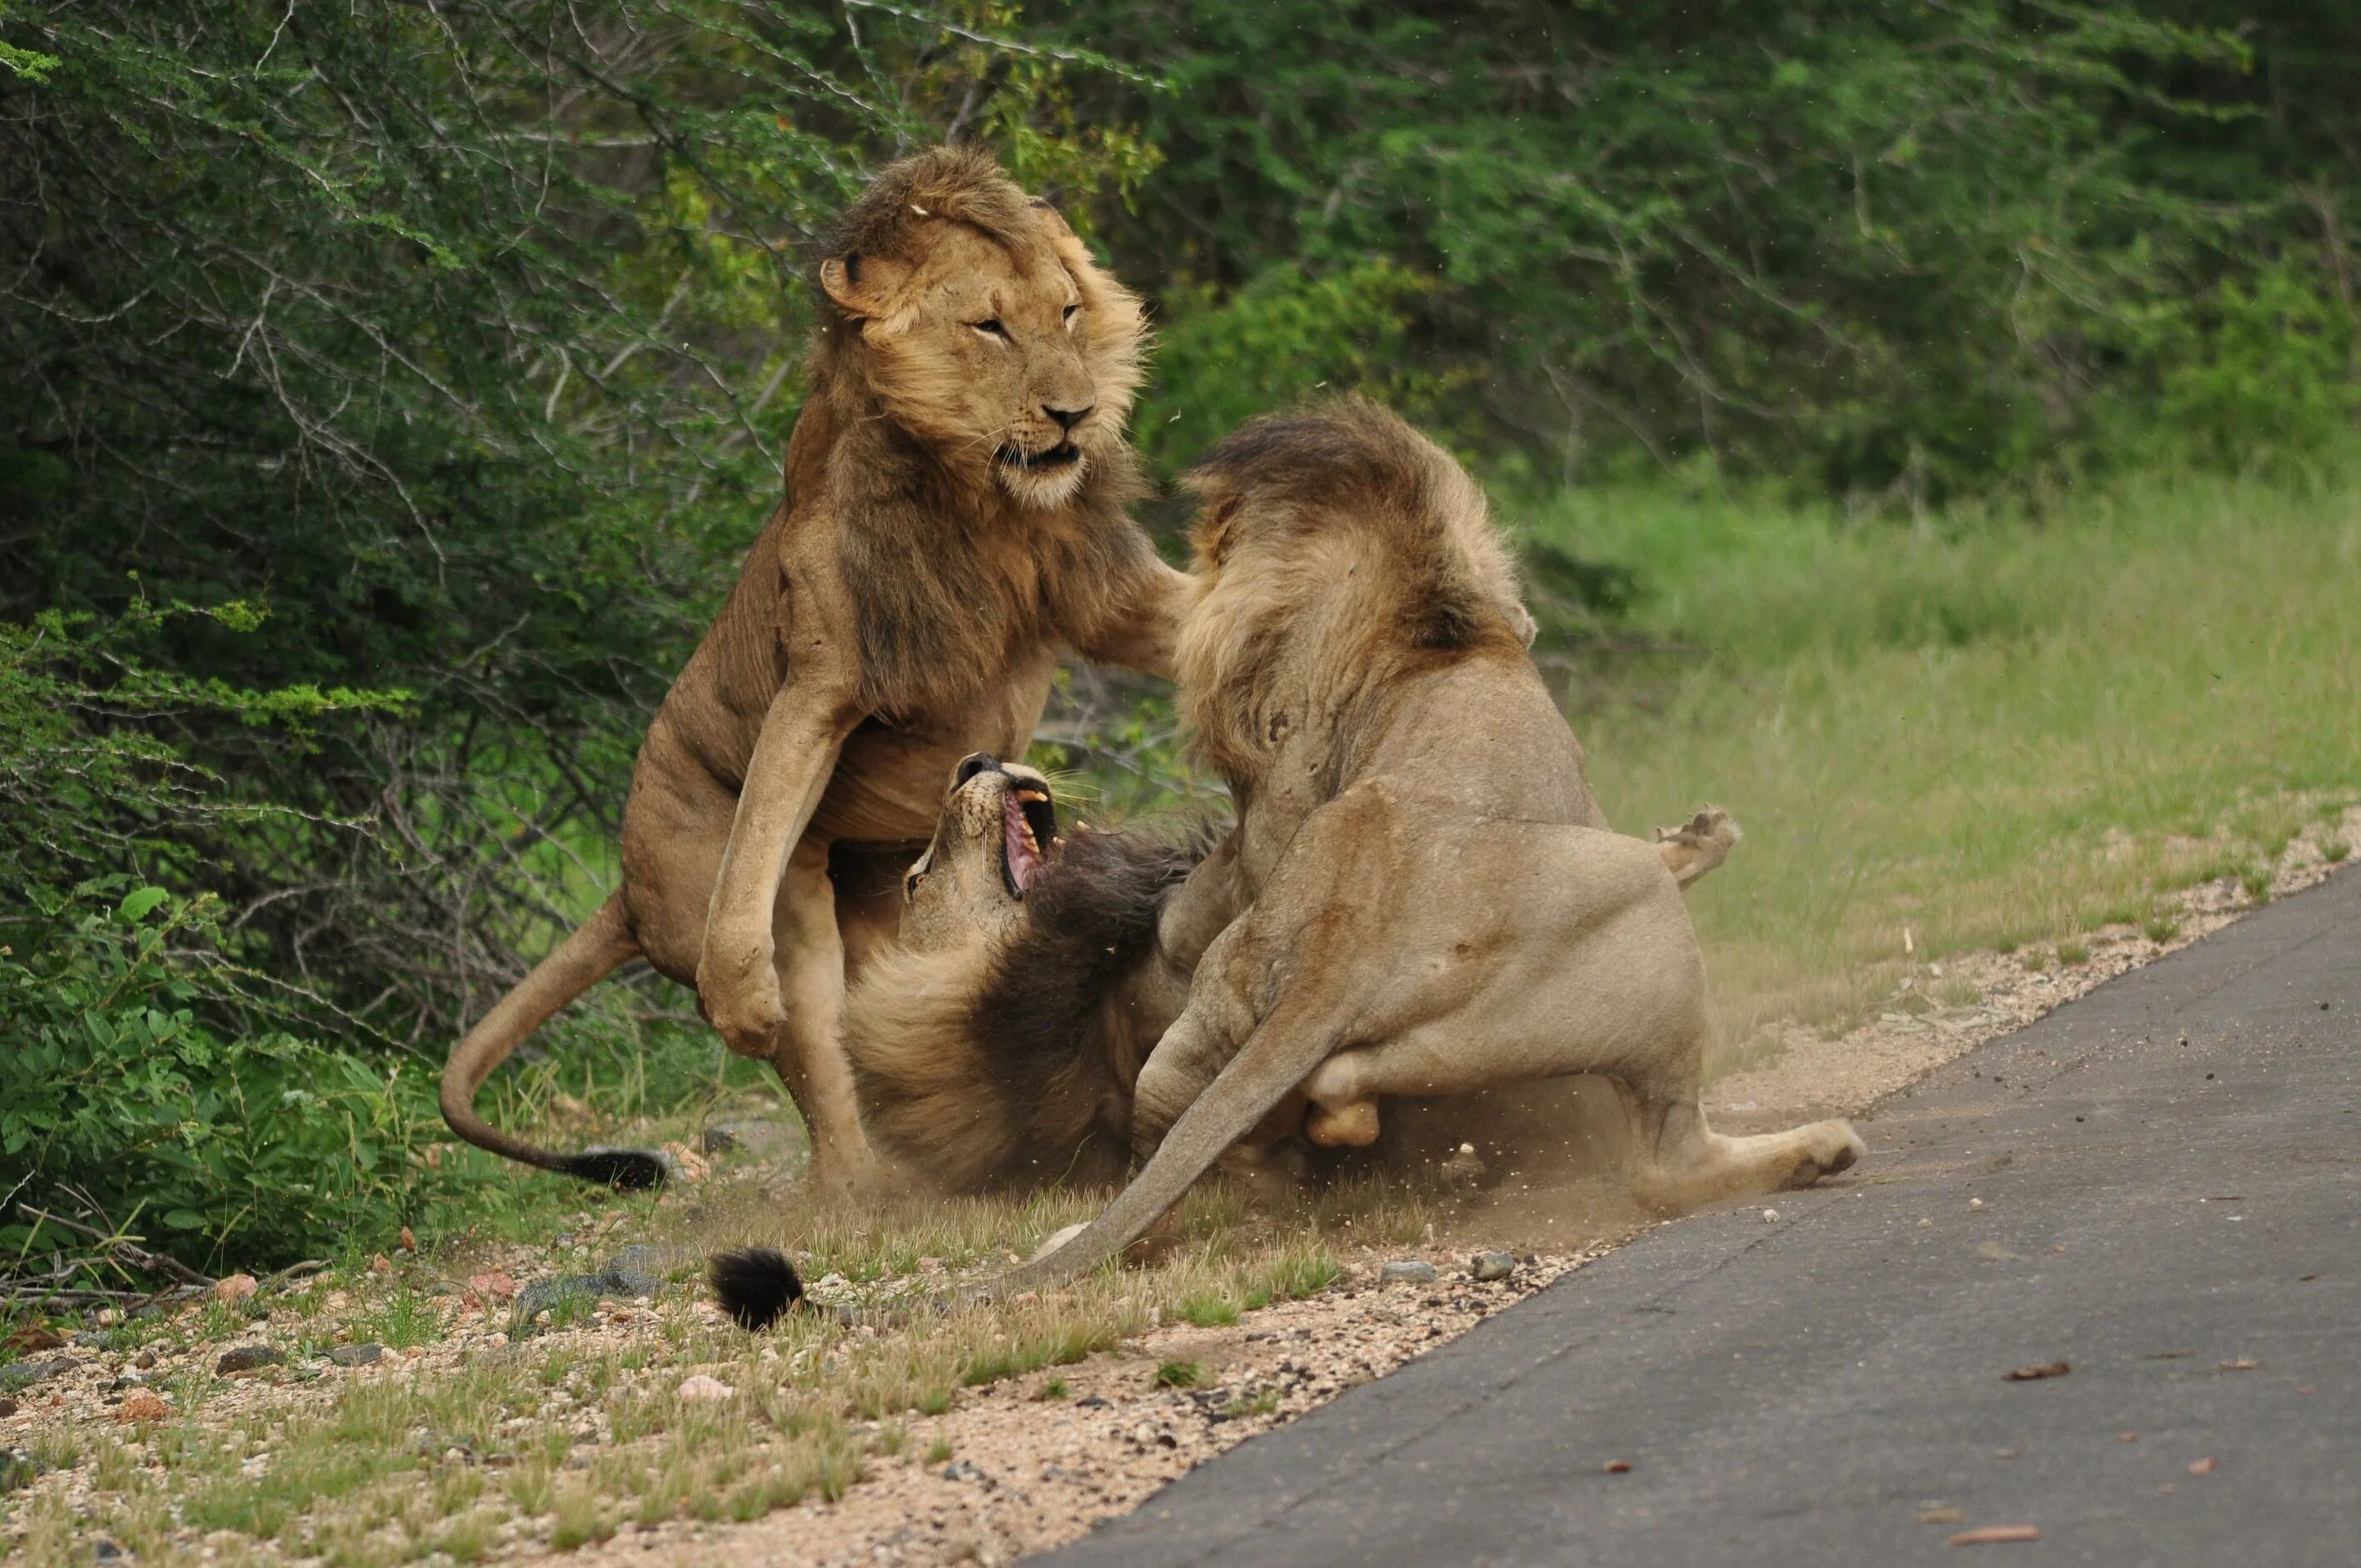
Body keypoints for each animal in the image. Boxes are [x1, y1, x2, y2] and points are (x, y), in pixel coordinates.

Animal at [436, 147, 1189, 1190]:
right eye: (989, 326)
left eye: (1070, 311)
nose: (1074, 413)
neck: (986, 501)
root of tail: (625, 887)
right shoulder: (825, 673)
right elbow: (773, 793)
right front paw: (740, 997)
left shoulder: (1110, 596)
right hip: (772, 903)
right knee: (823, 1069)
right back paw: (862, 1175)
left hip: (886, 903)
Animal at [996, 401, 1860, 1284]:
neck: (1427, 630)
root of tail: (1329, 965)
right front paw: (1701, 836)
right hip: (1636, 926)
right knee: (1661, 1162)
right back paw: (1818, 1145)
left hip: (1206, 1032)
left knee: (1220, 1140)